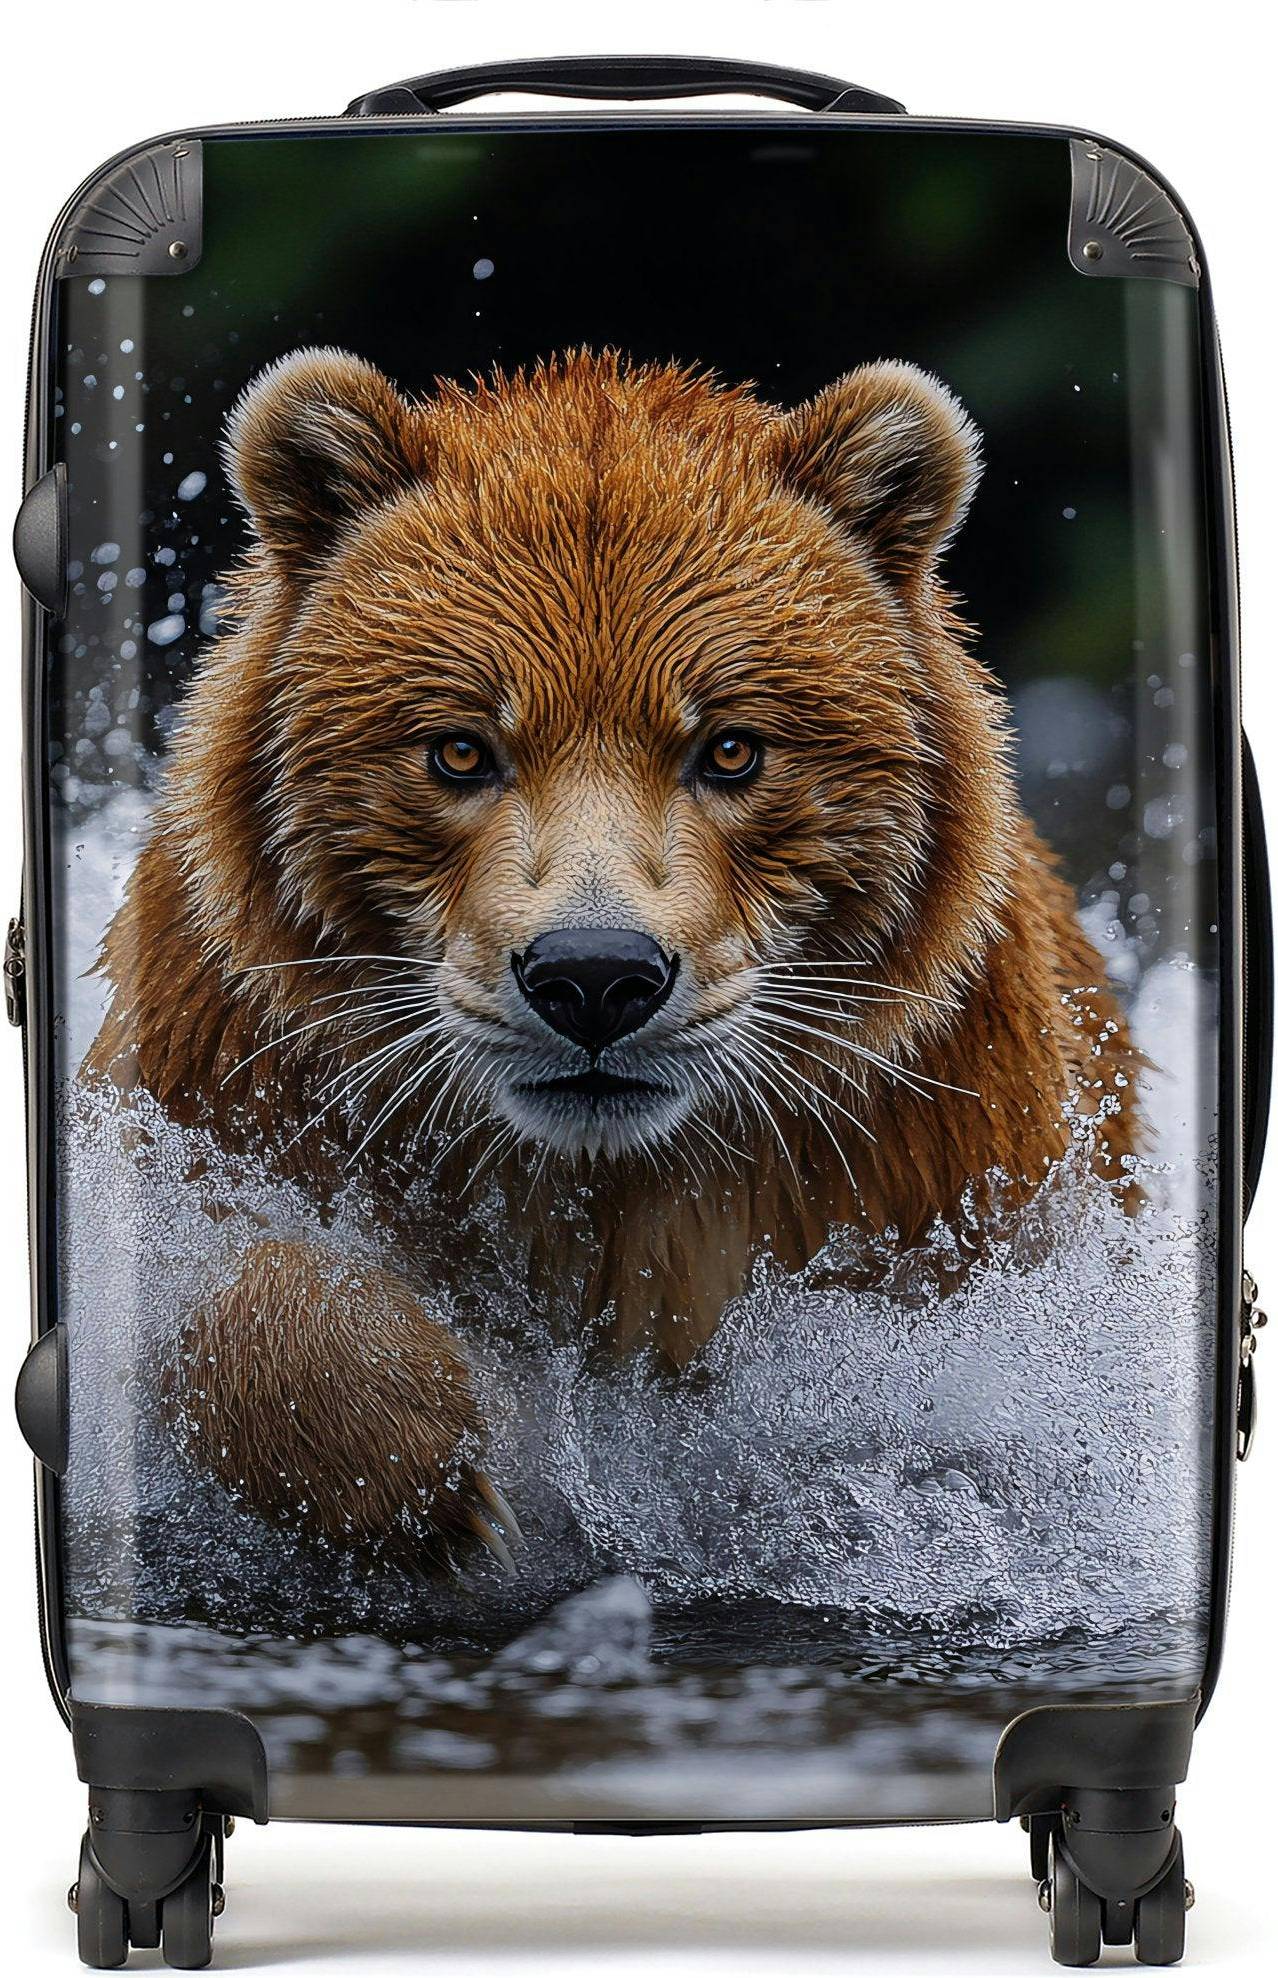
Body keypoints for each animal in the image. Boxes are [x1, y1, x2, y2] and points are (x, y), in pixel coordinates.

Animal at [87, 346, 1141, 1573]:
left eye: (731, 746)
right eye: (460, 747)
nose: (594, 976)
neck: (602, 1179)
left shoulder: (924, 1152)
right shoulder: (239, 1061)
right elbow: (186, 1272)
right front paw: (428, 1458)